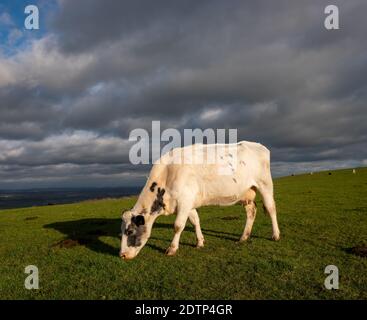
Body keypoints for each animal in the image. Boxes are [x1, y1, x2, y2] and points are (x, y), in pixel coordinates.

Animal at [119, 142, 280, 260]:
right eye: (121, 231)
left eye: (130, 231)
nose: (122, 255)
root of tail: (257, 145)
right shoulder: (188, 203)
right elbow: (195, 221)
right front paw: (200, 242)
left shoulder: (184, 201)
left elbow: (178, 226)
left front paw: (172, 248)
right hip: (246, 193)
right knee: (251, 211)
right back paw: (243, 237)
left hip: (265, 184)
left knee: (271, 208)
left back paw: (276, 235)